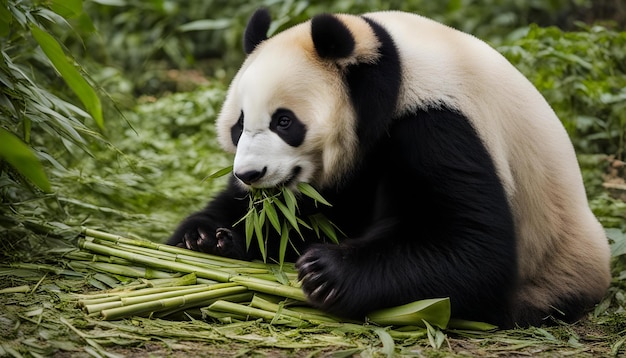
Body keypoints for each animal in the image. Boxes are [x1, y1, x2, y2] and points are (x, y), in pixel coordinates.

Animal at [167, 8, 608, 328]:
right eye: (239, 125)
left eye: (284, 122)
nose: (250, 175)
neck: (392, 69)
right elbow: (289, 218)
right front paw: (204, 238)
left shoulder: (438, 124)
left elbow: (471, 245)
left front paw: (326, 272)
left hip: (553, 271)